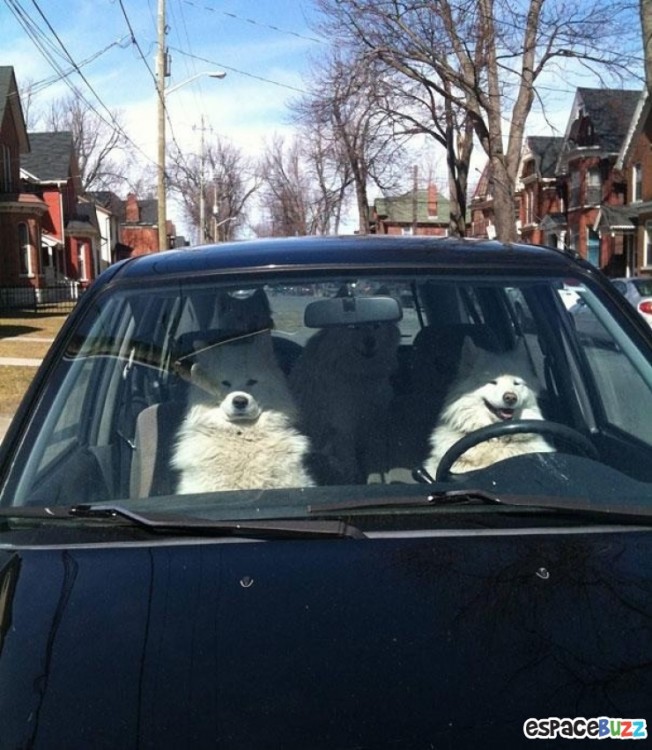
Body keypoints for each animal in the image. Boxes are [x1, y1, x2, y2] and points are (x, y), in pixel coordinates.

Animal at [290, 324, 400, 488]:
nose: (369, 341)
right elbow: (349, 460)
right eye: (353, 326)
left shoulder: (374, 420)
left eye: (377, 325)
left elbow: (375, 454)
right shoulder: (343, 424)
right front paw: (354, 478)